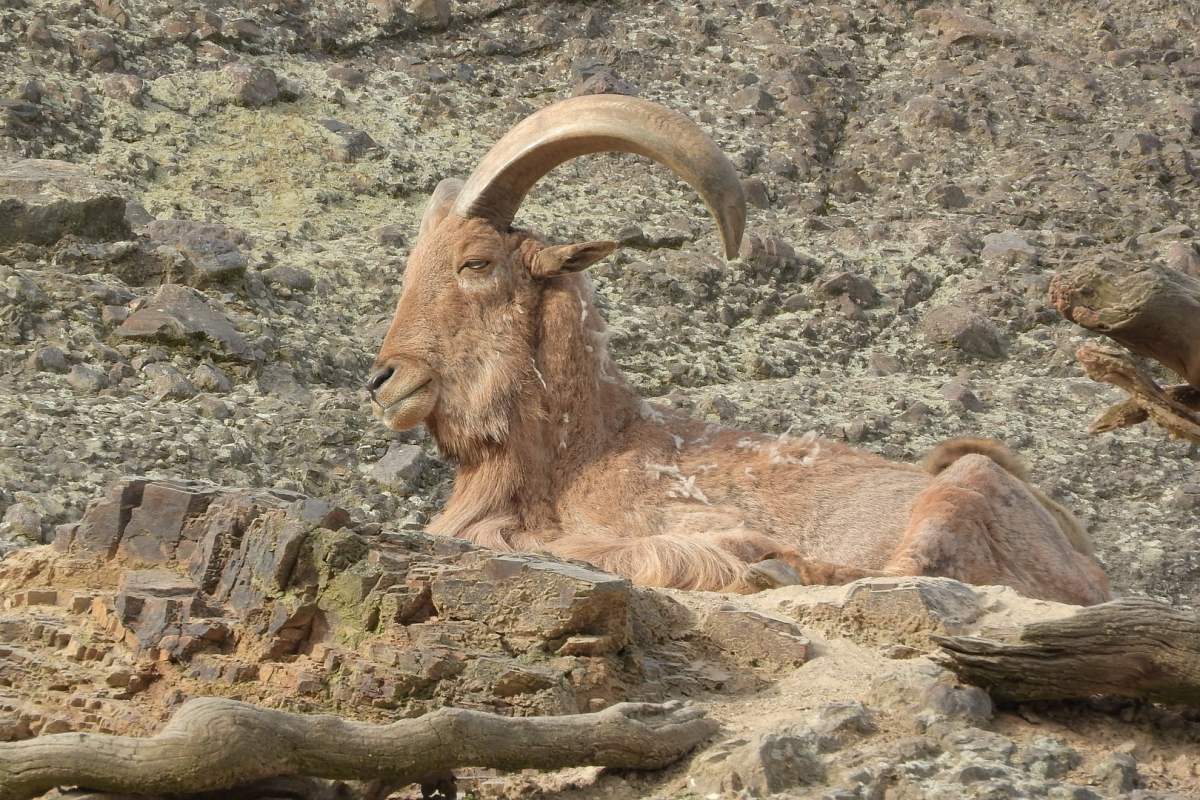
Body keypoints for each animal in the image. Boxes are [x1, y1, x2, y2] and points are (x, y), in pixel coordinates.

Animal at [362, 94, 1104, 604]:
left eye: (476, 263)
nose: (384, 379)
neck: (584, 452)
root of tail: (1085, 566)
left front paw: (735, 552)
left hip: (962, 490)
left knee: (903, 573)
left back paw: (771, 565)